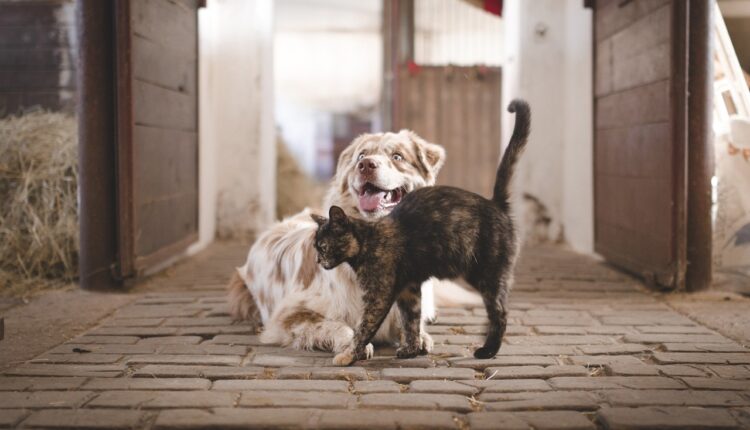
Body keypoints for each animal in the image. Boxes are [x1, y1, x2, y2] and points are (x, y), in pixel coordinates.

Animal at [231, 130, 446, 352]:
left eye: (397, 156)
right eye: (361, 156)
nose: (366, 165)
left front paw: (418, 336)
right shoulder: (288, 315)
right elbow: (339, 326)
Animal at [312, 99, 536, 364]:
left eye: (323, 246)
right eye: (315, 247)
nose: (318, 261)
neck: (368, 240)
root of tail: (495, 203)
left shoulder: (379, 295)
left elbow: (363, 327)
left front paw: (349, 355)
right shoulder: (408, 290)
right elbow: (411, 320)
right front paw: (411, 349)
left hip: (487, 274)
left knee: (500, 312)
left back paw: (487, 350)